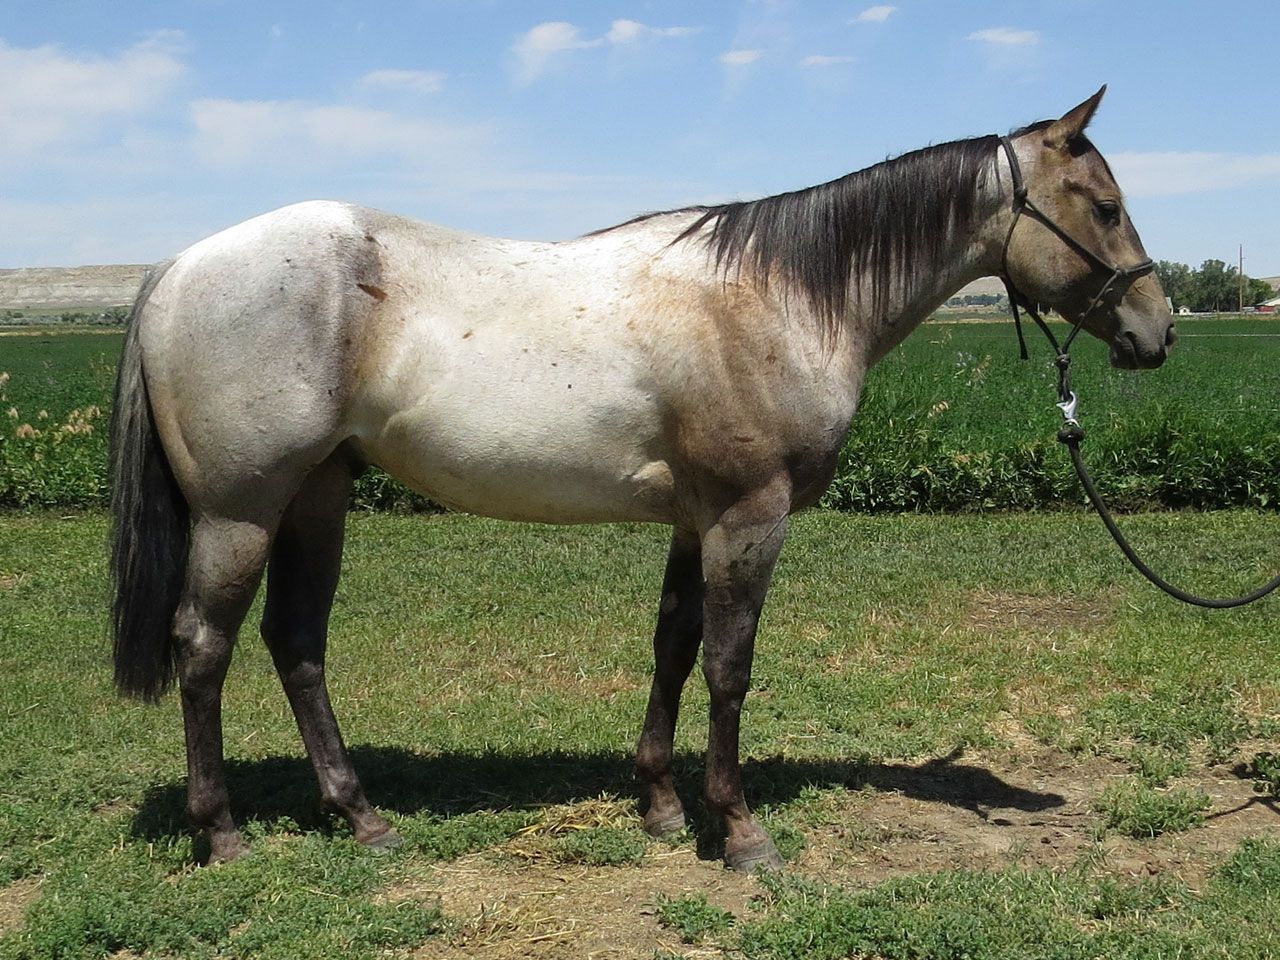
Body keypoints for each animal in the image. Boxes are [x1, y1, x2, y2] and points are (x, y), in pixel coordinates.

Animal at [109, 86, 1175, 871]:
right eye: (1106, 207)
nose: (1157, 332)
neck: (783, 294)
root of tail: (178, 267)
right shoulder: (750, 517)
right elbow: (730, 666)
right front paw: (738, 831)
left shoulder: (695, 521)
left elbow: (672, 646)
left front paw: (662, 805)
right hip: (241, 512)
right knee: (204, 648)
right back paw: (223, 833)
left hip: (317, 498)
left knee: (297, 644)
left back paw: (361, 816)